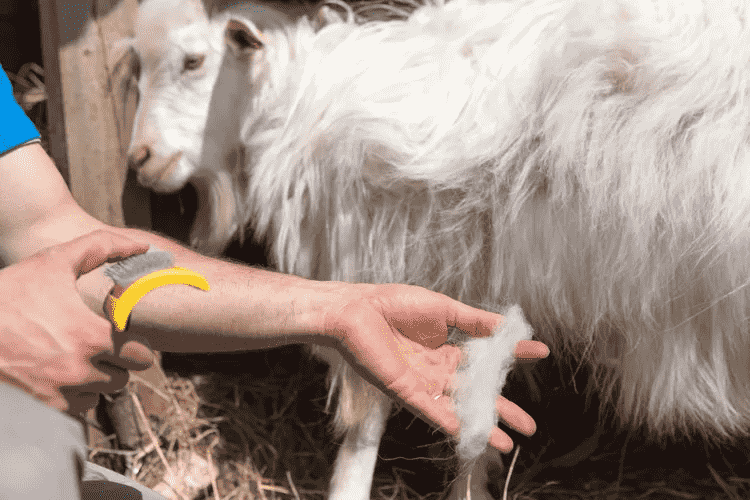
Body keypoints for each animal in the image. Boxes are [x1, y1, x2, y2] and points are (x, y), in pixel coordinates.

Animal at [129, 0, 750, 498]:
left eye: (193, 62)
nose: (139, 159)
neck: (300, 112)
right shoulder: (483, 286)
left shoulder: (387, 259)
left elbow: (366, 427)